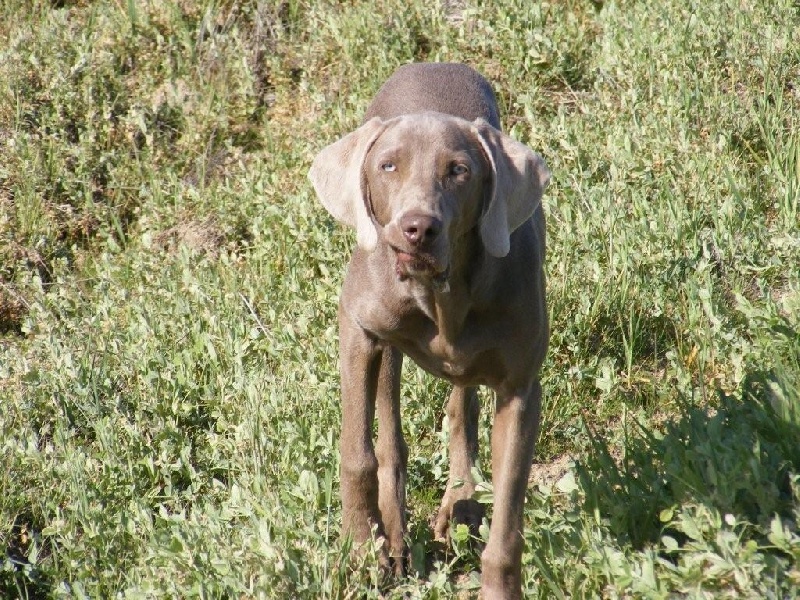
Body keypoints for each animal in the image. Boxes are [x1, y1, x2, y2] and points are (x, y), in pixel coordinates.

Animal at [308, 63, 552, 596]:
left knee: (463, 408)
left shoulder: (520, 386)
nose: (418, 228)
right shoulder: (358, 329)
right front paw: (361, 553)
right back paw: (396, 539)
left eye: (459, 170)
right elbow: (358, 454)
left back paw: (459, 506)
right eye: (388, 166)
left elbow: (509, 501)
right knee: (390, 434)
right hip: (384, 346)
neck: (441, 296)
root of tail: (433, 63)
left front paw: (499, 585)